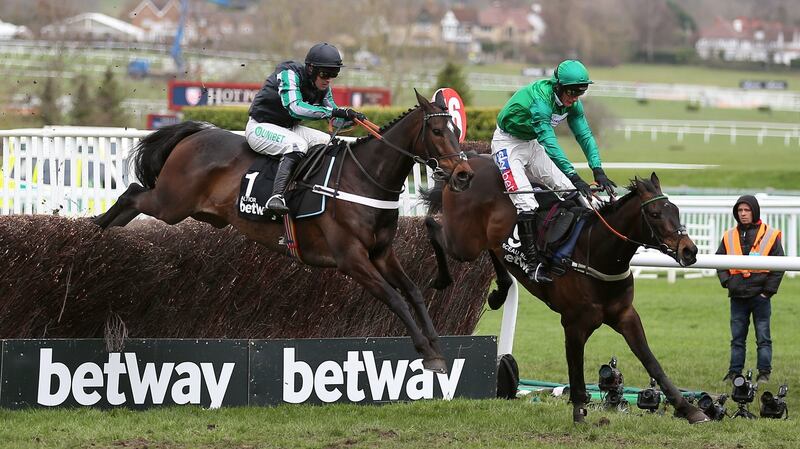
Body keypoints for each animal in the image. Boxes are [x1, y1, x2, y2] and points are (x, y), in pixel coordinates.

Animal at [93, 89, 472, 372]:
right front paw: (426, 351)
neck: (364, 179)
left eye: (456, 129)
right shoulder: (351, 259)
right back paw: (95, 228)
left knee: (133, 201)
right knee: (132, 193)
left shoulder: (381, 253)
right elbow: (394, 298)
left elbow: (414, 292)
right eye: (437, 132)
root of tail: (198, 133)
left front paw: (436, 347)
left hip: (193, 211)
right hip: (171, 204)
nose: (464, 175)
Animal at [422, 155, 708, 424]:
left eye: (676, 210)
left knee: (492, 250)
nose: (689, 250)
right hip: (464, 242)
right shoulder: (574, 323)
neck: (598, 253)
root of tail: (466, 163)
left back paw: (500, 291)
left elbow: (652, 363)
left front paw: (690, 410)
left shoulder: (626, 315)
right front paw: (580, 410)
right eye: (655, 214)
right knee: (432, 226)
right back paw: (442, 277)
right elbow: (576, 368)